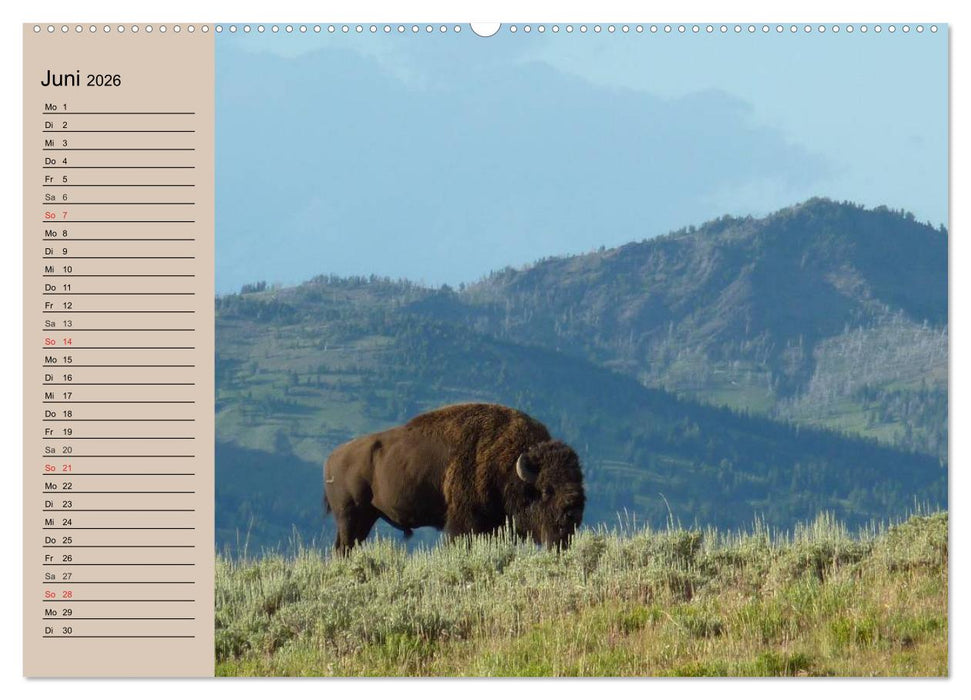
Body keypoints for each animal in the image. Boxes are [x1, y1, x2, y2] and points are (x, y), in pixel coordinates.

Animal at [323, 403, 585, 554]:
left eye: (578, 481)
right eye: (546, 489)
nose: (573, 511)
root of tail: (332, 458)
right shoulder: (464, 524)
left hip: (366, 517)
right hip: (350, 516)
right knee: (343, 548)